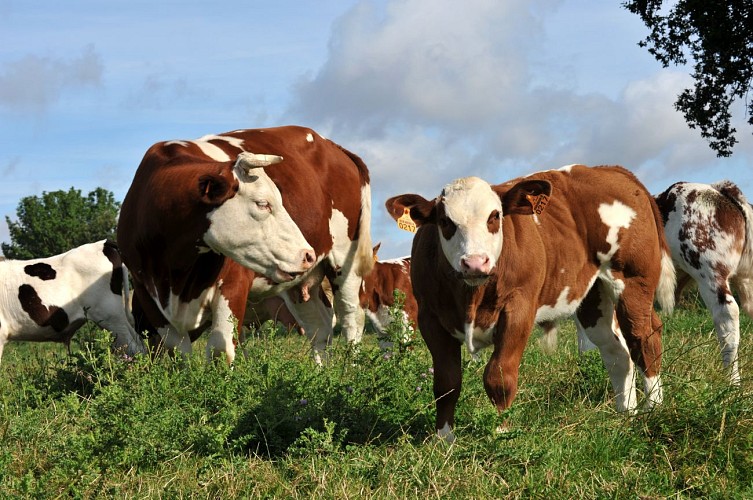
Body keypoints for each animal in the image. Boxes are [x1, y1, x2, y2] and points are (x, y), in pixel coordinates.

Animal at [117, 125, 373, 364]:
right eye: (262, 203)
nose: (307, 254)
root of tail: (332, 145)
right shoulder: (146, 292)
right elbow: (178, 353)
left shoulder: (233, 284)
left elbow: (220, 351)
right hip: (300, 285)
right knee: (319, 328)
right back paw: (323, 373)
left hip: (345, 261)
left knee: (351, 318)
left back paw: (349, 368)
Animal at [385, 164, 676, 442]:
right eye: (445, 221)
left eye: (495, 216)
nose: (475, 263)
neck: (471, 296)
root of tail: (610, 170)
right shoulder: (430, 319)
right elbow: (446, 383)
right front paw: (444, 440)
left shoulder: (518, 309)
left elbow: (499, 376)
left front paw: (502, 433)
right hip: (593, 297)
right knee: (617, 352)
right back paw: (625, 414)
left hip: (633, 280)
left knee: (644, 338)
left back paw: (653, 409)